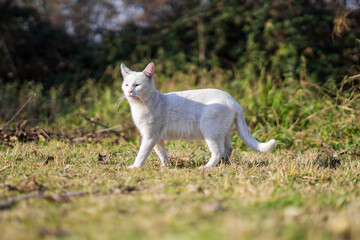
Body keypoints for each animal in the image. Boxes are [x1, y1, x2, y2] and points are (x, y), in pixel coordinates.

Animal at [121, 62, 276, 169]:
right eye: (126, 84)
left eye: (137, 85)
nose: (129, 91)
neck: (140, 105)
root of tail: (233, 101)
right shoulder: (157, 138)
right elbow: (161, 153)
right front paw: (166, 166)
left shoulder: (150, 136)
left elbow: (142, 153)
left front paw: (135, 166)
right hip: (222, 132)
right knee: (228, 148)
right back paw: (223, 164)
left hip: (210, 131)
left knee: (218, 151)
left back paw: (207, 167)